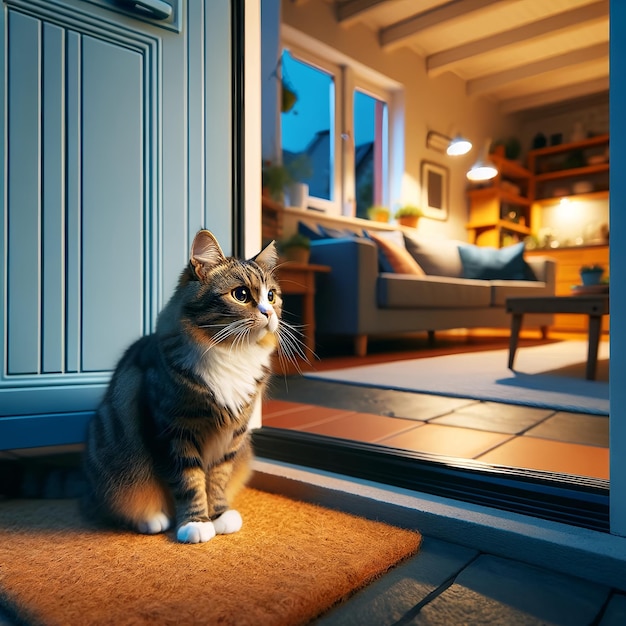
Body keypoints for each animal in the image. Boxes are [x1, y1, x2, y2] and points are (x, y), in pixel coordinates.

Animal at [81, 229, 302, 540]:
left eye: (271, 296)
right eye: (241, 294)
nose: (268, 313)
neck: (232, 353)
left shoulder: (233, 437)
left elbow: (218, 479)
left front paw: (218, 515)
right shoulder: (173, 433)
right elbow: (189, 482)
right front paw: (195, 523)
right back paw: (152, 519)